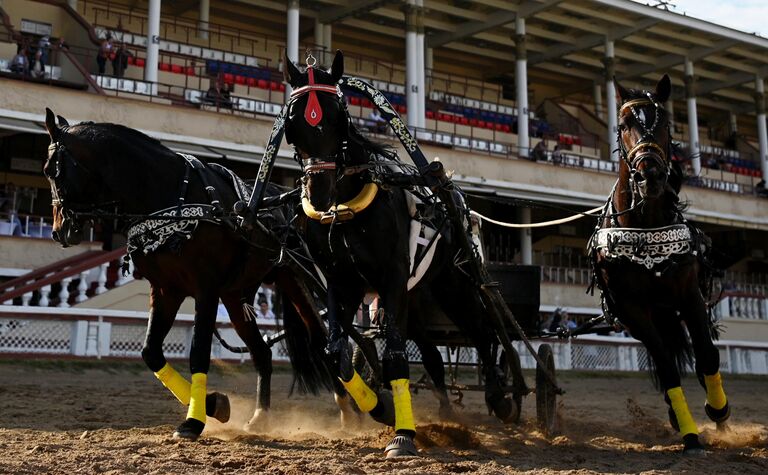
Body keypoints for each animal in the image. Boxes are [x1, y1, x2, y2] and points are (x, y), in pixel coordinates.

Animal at [40, 109, 350, 442]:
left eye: (52, 171)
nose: (59, 230)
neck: (170, 198)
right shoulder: (166, 289)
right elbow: (151, 352)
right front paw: (213, 404)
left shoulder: (206, 289)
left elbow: (198, 352)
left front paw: (194, 420)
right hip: (236, 297)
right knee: (263, 353)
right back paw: (260, 416)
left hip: (294, 277)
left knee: (324, 342)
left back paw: (353, 409)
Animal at [280, 52, 520, 458]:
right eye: (292, 122)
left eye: (338, 116)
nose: (319, 193)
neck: (347, 210)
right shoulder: (342, 283)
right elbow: (334, 352)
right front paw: (380, 406)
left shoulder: (391, 277)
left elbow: (394, 354)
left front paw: (403, 434)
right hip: (418, 298)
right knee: (435, 356)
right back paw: (447, 410)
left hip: (453, 285)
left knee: (482, 332)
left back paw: (500, 397)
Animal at [588, 76, 732, 456]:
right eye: (624, 124)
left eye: (666, 123)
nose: (649, 175)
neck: (645, 229)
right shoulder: (631, 309)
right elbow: (667, 368)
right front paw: (690, 435)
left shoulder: (690, 295)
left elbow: (707, 355)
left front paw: (719, 410)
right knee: (664, 355)